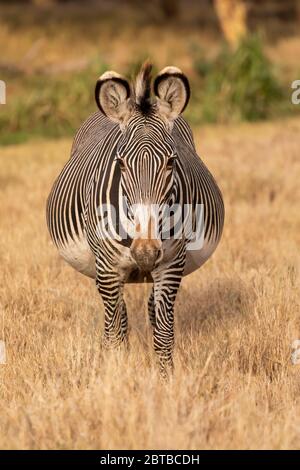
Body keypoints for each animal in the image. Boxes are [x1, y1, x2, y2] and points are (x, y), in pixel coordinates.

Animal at [46, 62, 225, 374]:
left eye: (171, 161)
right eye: (121, 163)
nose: (144, 252)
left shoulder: (170, 264)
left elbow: (164, 334)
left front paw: (166, 380)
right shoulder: (107, 269)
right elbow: (114, 334)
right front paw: (114, 376)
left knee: (150, 311)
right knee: (117, 320)